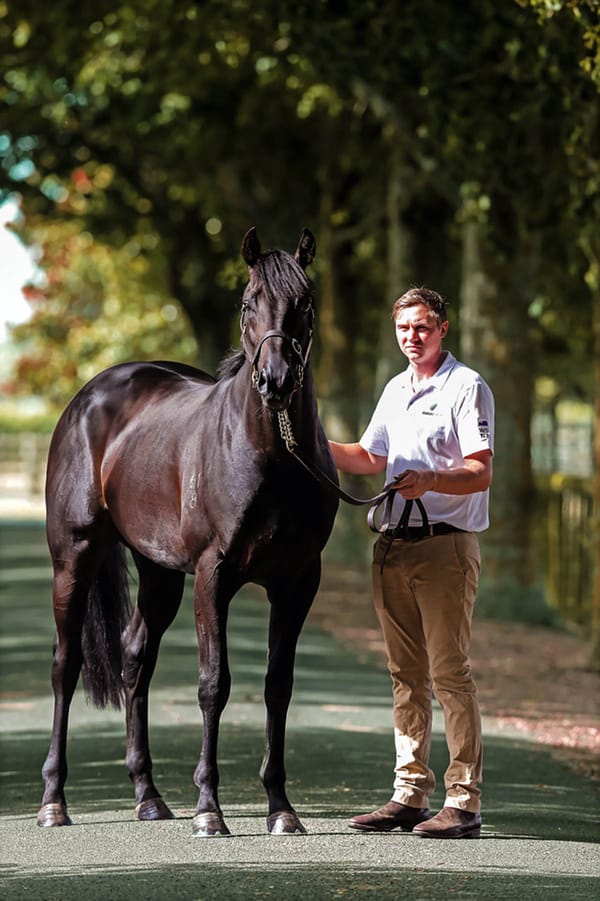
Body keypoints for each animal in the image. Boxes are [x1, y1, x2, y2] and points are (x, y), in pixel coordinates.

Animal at [37, 227, 339, 836]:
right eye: (247, 303)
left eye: (305, 302)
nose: (275, 382)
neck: (271, 457)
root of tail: (93, 394)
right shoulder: (212, 574)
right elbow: (213, 684)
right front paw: (209, 810)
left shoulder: (297, 582)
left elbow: (278, 687)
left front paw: (281, 810)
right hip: (75, 557)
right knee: (65, 664)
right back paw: (54, 801)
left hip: (158, 572)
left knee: (135, 658)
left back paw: (149, 797)